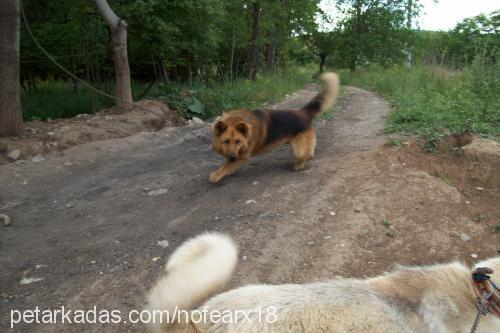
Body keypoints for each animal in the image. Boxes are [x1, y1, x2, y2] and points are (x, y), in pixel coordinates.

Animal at [209, 72, 342, 182]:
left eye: (238, 141)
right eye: (226, 141)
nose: (232, 157)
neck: (238, 120)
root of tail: (302, 113)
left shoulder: (242, 157)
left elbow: (227, 167)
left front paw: (216, 175)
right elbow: (227, 164)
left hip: (299, 148)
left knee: (306, 154)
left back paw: (299, 165)